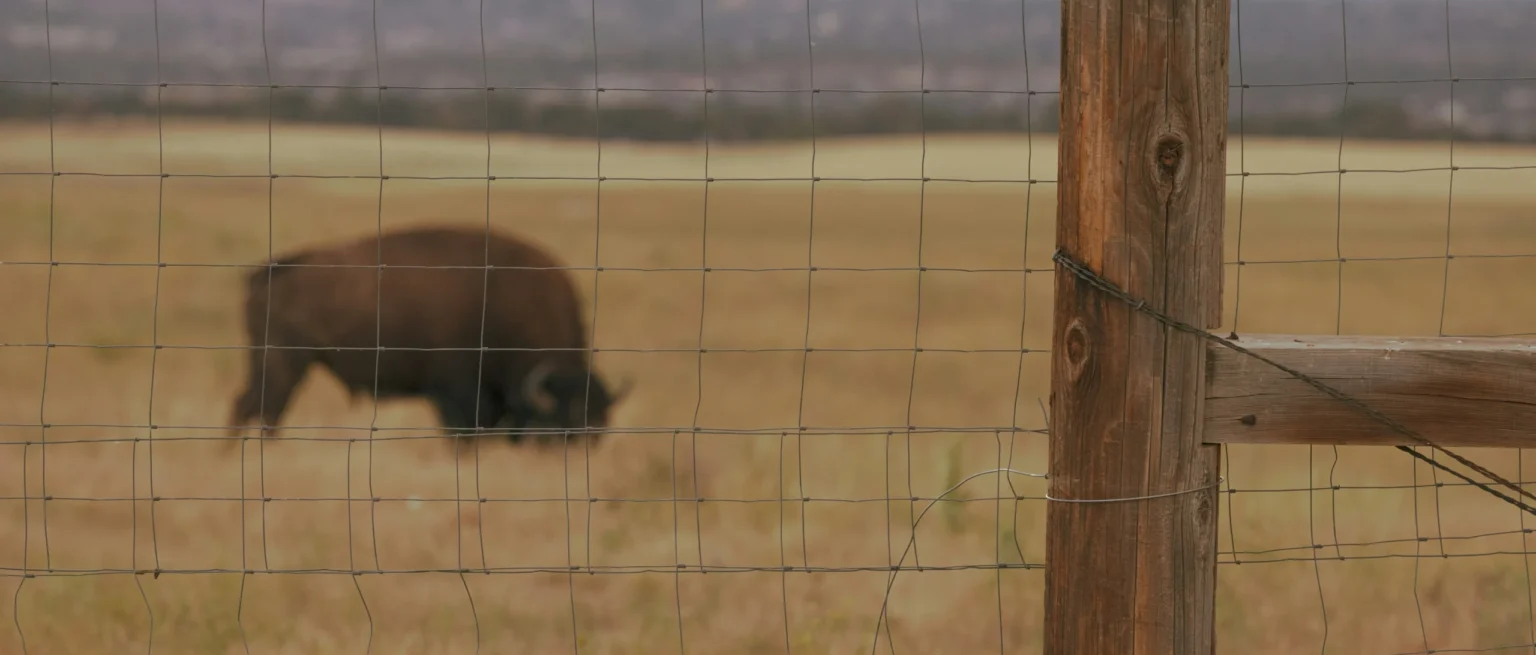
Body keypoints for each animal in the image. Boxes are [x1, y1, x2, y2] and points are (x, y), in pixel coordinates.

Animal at [226, 225, 630, 447]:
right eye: (563, 421)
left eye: (601, 423)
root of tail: (272, 270)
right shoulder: (457, 394)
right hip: (286, 361)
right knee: (265, 408)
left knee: (250, 405)